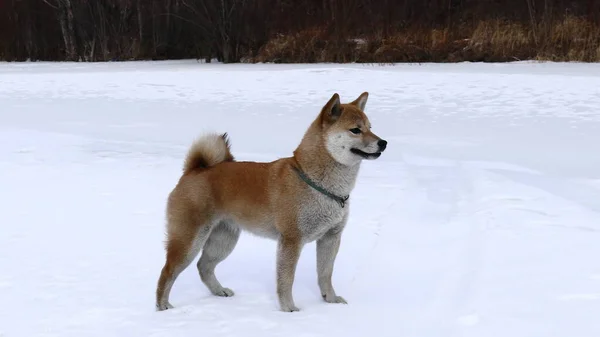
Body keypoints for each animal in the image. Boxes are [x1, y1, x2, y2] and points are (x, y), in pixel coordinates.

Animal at [156, 90, 390, 312]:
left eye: (370, 127)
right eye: (355, 130)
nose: (384, 142)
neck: (316, 181)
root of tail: (194, 170)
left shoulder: (330, 238)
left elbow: (325, 274)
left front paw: (330, 301)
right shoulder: (291, 240)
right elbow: (286, 279)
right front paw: (289, 308)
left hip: (224, 240)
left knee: (204, 267)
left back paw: (219, 291)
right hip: (190, 240)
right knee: (168, 271)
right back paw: (163, 306)